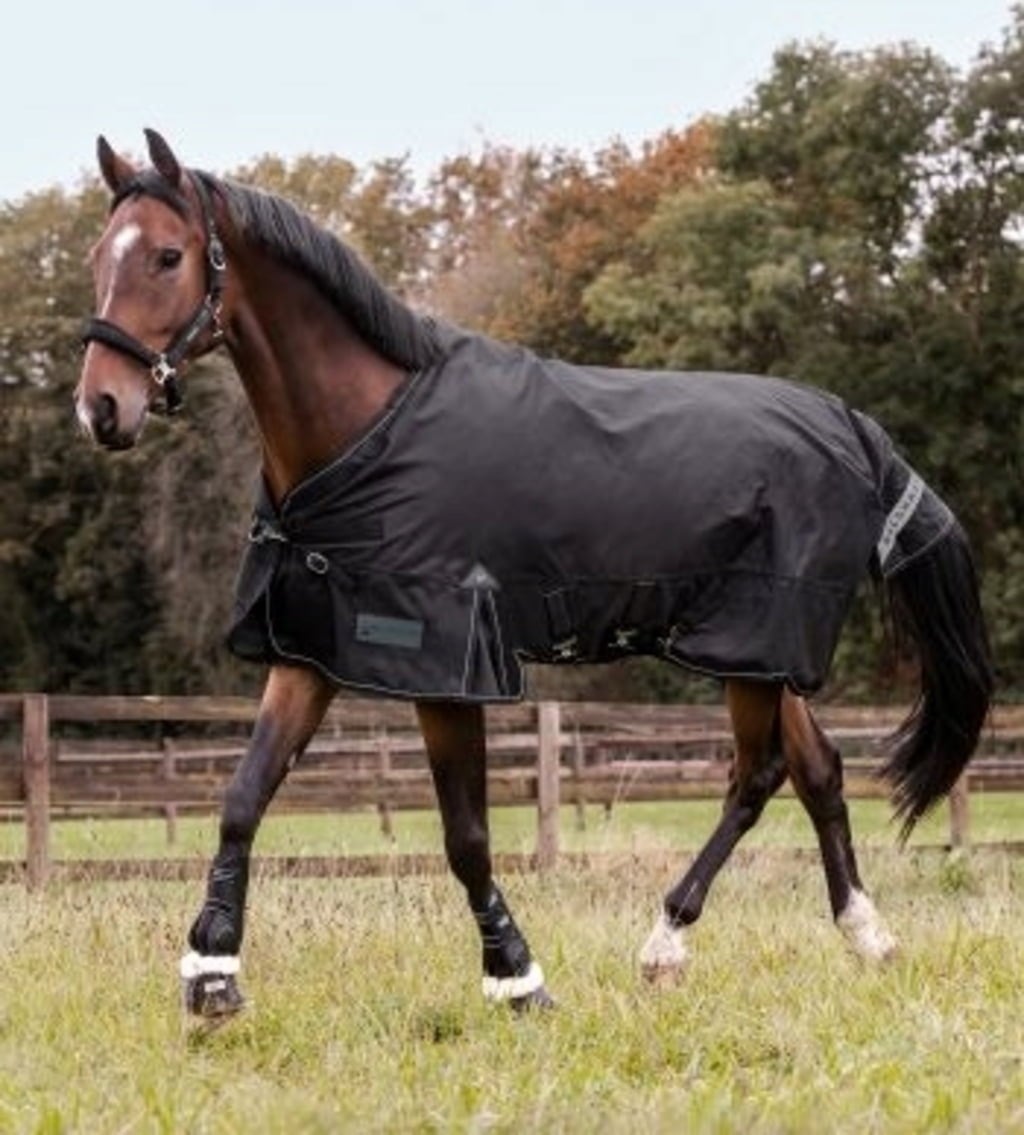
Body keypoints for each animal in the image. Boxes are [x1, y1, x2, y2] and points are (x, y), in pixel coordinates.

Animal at [75, 130, 993, 1021]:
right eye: (96, 257)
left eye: (167, 256)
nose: (101, 409)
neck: (367, 428)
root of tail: (851, 425)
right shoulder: (312, 648)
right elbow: (242, 797)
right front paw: (212, 974)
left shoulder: (447, 662)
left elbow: (467, 837)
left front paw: (517, 978)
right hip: (757, 651)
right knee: (817, 768)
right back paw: (865, 933)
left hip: (757, 641)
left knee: (756, 774)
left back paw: (666, 941)